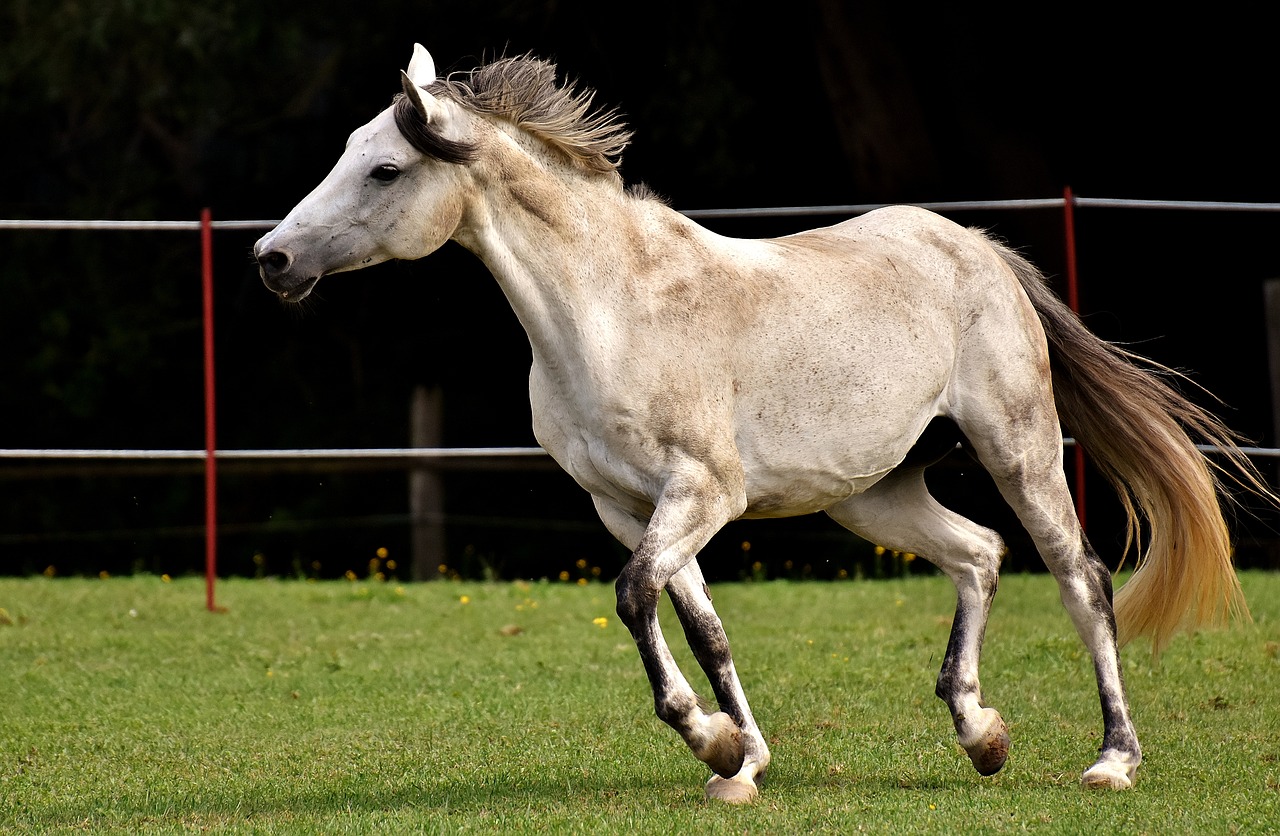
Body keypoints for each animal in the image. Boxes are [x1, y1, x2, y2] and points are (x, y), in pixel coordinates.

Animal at [252, 47, 1269, 803]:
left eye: (385, 168)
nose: (273, 258)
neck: (612, 308)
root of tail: (978, 248)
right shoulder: (630, 507)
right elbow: (702, 629)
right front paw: (741, 764)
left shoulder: (701, 492)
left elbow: (634, 597)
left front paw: (709, 741)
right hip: (874, 493)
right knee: (980, 554)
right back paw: (980, 733)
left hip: (1016, 448)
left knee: (1080, 577)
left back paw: (1112, 760)